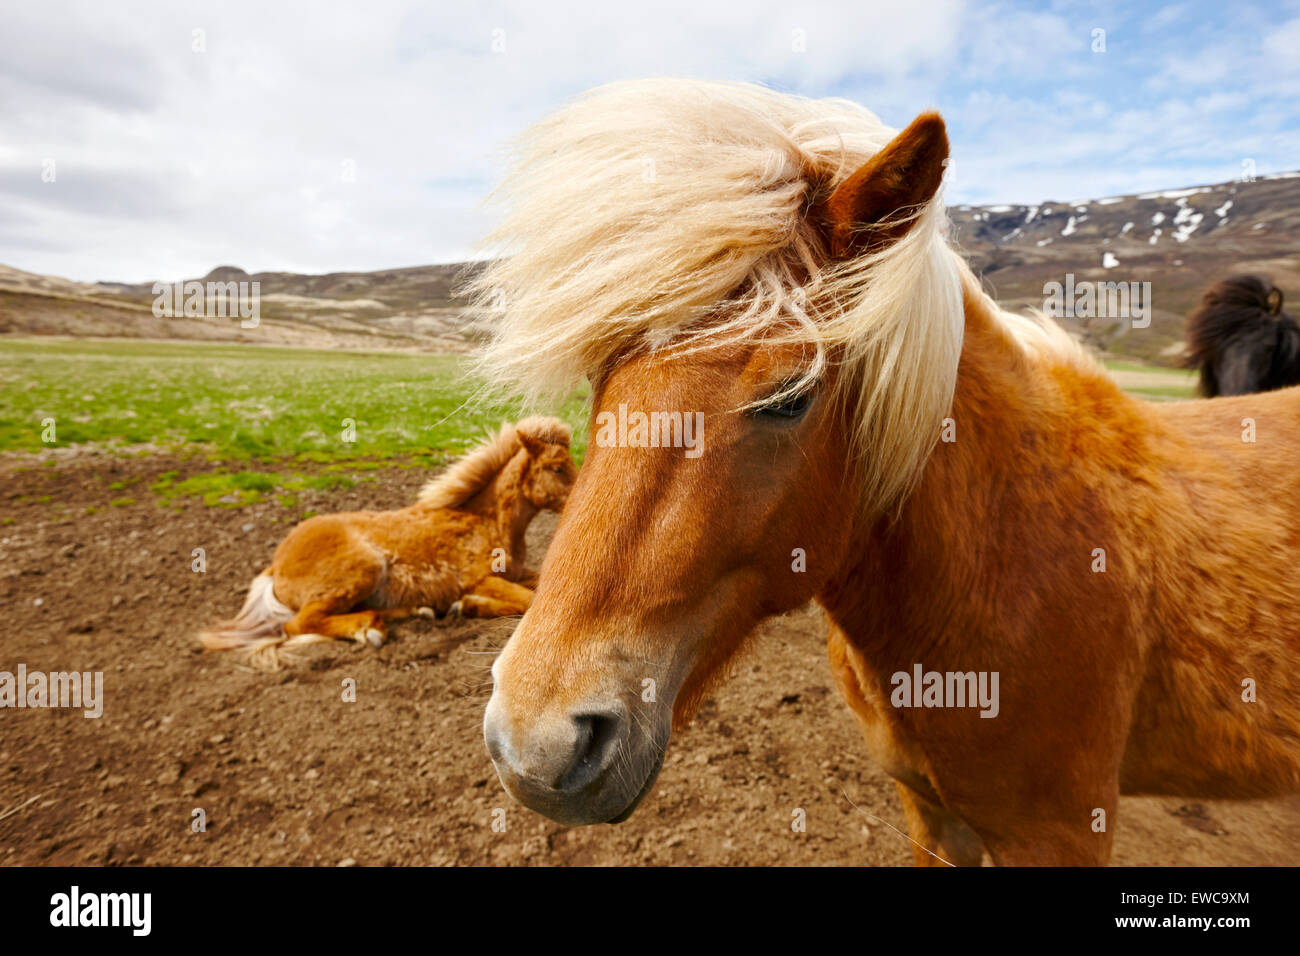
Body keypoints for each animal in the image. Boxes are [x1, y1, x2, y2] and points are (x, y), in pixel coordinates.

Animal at [198, 416, 576, 668]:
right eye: (557, 468)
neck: (487, 522)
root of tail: (275, 564)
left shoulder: (519, 572)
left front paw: (463, 606)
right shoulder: (481, 578)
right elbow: (529, 601)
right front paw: (468, 604)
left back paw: (418, 611)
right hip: (363, 569)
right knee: (299, 623)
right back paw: (368, 630)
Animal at [472, 79, 1300, 865]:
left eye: (790, 396)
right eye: (599, 379)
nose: (536, 747)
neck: (1002, 550)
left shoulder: (1062, 834)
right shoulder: (931, 815)